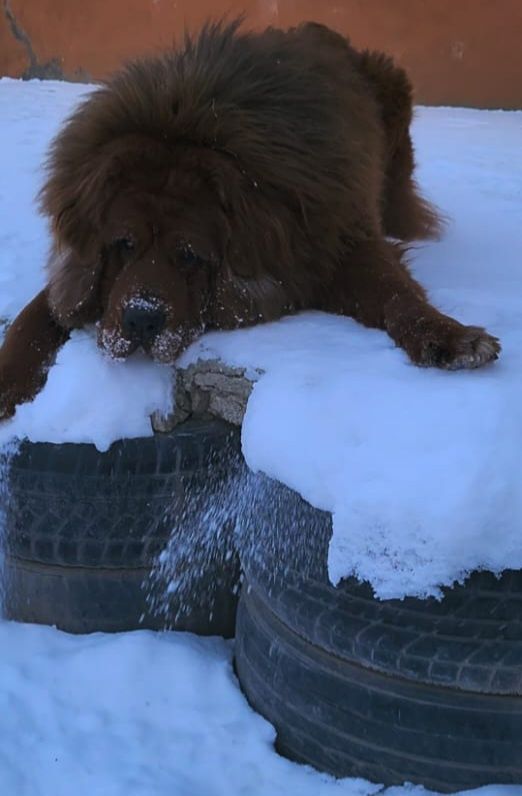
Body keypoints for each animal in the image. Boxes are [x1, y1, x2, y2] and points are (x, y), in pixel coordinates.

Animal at [0, 18, 498, 420]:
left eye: (189, 256)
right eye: (123, 245)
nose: (141, 321)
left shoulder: (334, 241)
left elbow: (395, 293)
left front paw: (449, 337)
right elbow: (34, 319)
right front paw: (8, 382)